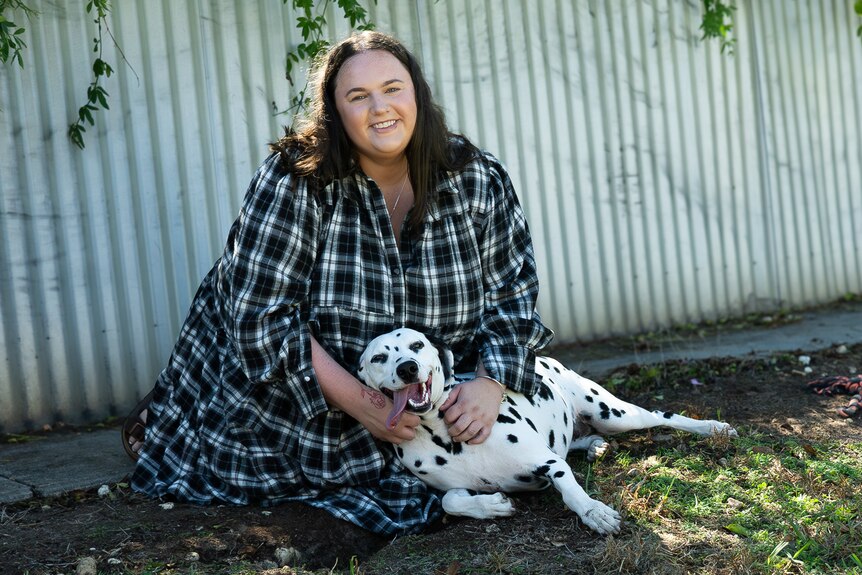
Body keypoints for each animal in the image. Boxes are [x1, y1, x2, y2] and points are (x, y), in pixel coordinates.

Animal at [356, 328, 736, 536]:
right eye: (378, 358)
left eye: (417, 346)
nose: (407, 368)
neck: (443, 433)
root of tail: (542, 358)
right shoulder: (448, 488)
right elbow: (450, 501)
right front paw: (492, 506)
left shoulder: (546, 461)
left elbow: (570, 487)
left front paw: (594, 512)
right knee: (583, 440)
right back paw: (597, 447)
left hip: (615, 414)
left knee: (661, 415)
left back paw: (713, 428)